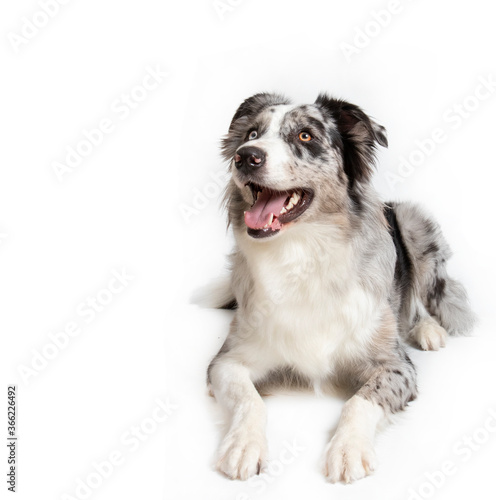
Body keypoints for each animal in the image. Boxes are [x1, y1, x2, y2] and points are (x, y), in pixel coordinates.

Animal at [204, 92, 472, 482]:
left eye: (305, 136)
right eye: (252, 133)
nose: (246, 155)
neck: (301, 253)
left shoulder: (395, 365)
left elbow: (360, 400)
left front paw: (348, 449)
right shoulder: (227, 360)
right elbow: (248, 398)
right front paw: (243, 445)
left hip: (412, 221)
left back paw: (428, 330)